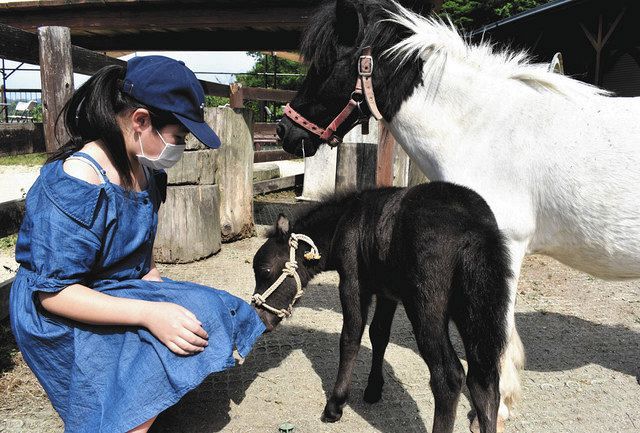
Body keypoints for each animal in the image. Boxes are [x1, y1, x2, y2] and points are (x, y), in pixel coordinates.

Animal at [250, 182, 510, 432]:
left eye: (265, 270)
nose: (261, 319)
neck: (345, 221)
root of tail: (475, 229)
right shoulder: (387, 294)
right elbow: (379, 334)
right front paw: (374, 389)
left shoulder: (352, 283)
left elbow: (351, 337)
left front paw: (335, 405)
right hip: (477, 311)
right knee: (483, 381)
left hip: (426, 308)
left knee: (449, 377)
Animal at [276, 1, 640, 430]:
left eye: (326, 63)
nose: (285, 131)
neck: (486, 128)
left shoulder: (504, 250)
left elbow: (495, 344)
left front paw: (495, 412)